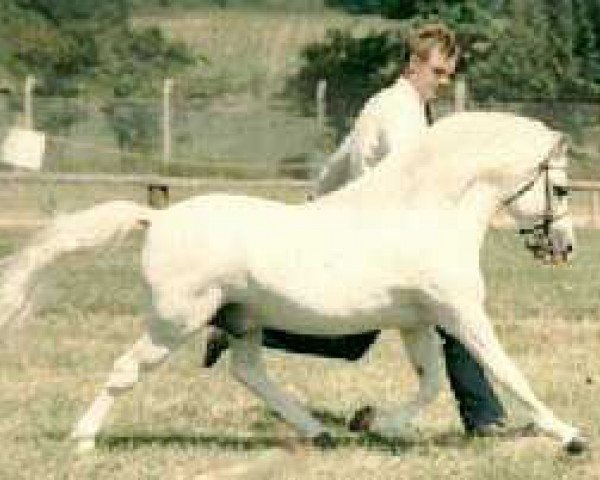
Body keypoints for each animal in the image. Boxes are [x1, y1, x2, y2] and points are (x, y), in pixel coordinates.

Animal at [0, 111, 584, 454]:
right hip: (176, 321)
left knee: (248, 371)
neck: (423, 210)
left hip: (244, 318)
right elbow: (507, 371)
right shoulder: (459, 312)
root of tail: (156, 218)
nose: (565, 248)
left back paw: (318, 431)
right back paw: (82, 441)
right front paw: (568, 435)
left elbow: (432, 381)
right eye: (560, 188)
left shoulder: (416, 322)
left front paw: (375, 423)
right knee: (127, 370)